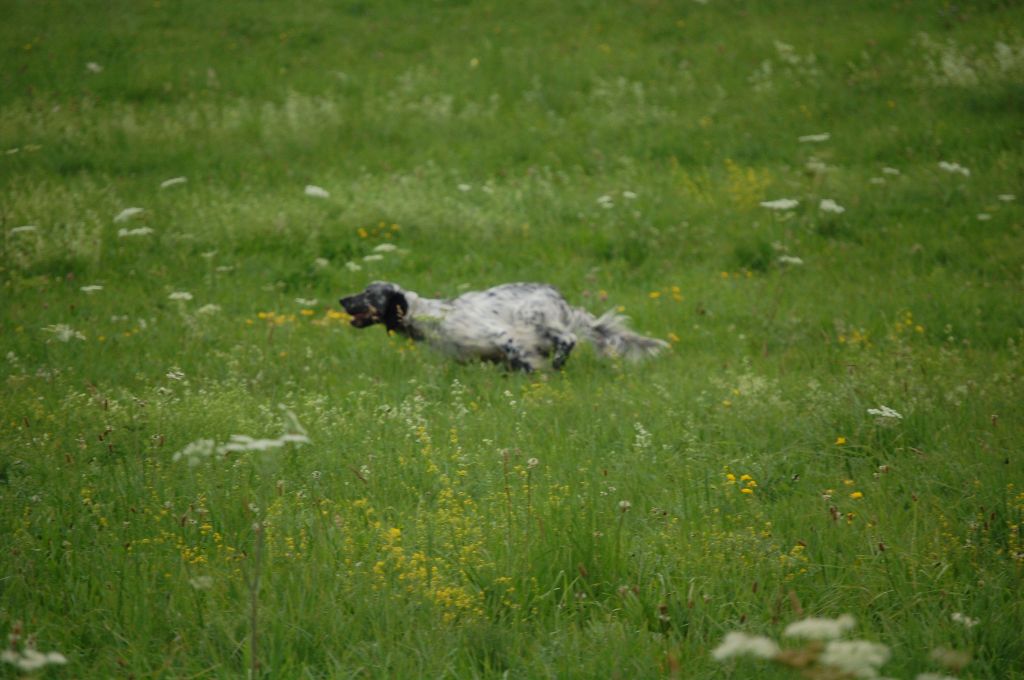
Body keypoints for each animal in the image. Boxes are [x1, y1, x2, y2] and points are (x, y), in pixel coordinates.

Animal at [339, 280, 667, 372]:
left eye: (368, 293)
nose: (342, 299)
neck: (431, 316)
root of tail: (559, 298)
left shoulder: (504, 337)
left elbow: (525, 361)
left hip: (537, 320)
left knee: (569, 339)